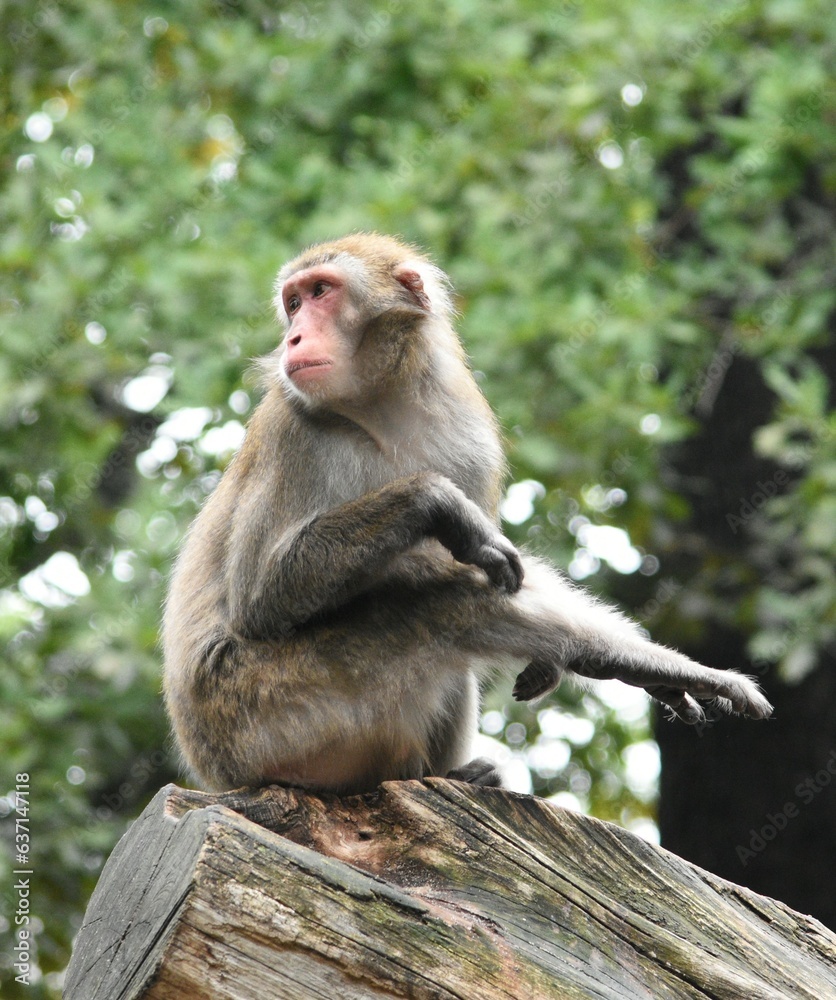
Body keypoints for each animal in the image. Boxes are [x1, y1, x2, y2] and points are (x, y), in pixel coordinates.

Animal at [160, 230, 772, 792]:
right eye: (293, 302)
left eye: (320, 293)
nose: (293, 335)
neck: (383, 409)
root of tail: (219, 776)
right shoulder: (292, 428)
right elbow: (259, 598)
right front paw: (438, 503)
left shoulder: (471, 437)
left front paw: (558, 663)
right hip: (265, 715)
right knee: (439, 604)